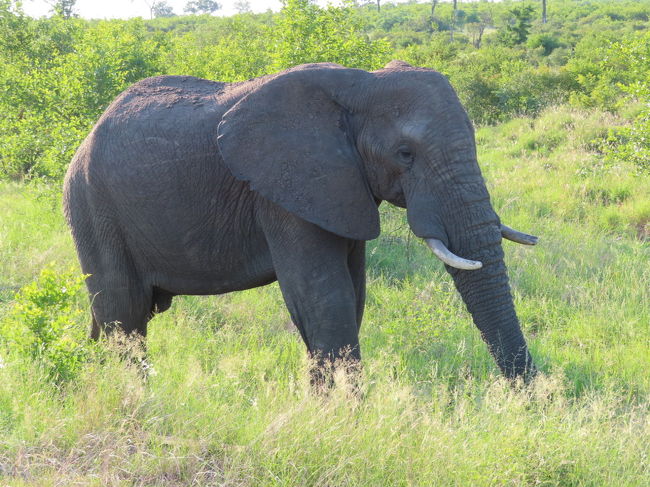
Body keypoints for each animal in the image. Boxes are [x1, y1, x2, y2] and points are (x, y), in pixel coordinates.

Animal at [63, 61, 536, 384]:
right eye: (405, 154)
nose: (532, 404)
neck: (361, 84)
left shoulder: (341, 188)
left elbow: (351, 297)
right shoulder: (286, 190)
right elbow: (325, 299)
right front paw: (346, 424)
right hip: (93, 206)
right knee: (124, 316)